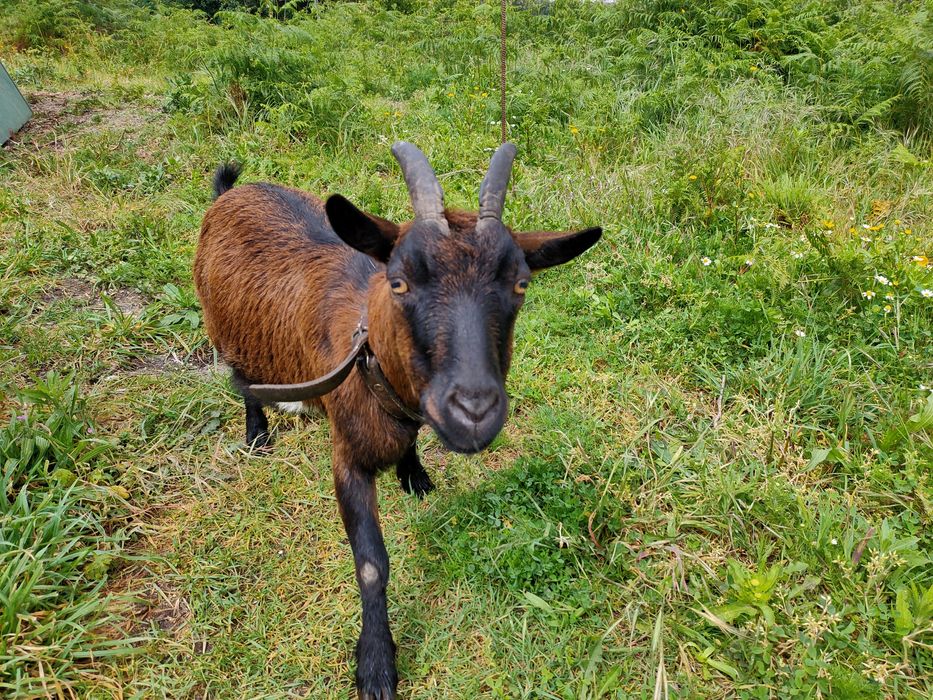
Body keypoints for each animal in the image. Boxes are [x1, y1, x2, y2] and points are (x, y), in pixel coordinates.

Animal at [193, 142, 601, 699]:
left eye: (520, 283)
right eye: (400, 281)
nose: (474, 412)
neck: (369, 356)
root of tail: (231, 193)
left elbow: (411, 447)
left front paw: (415, 475)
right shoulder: (346, 459)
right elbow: (371, 564)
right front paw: (376, 662)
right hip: (226, 332)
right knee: (240, 378)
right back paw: (257, 433)